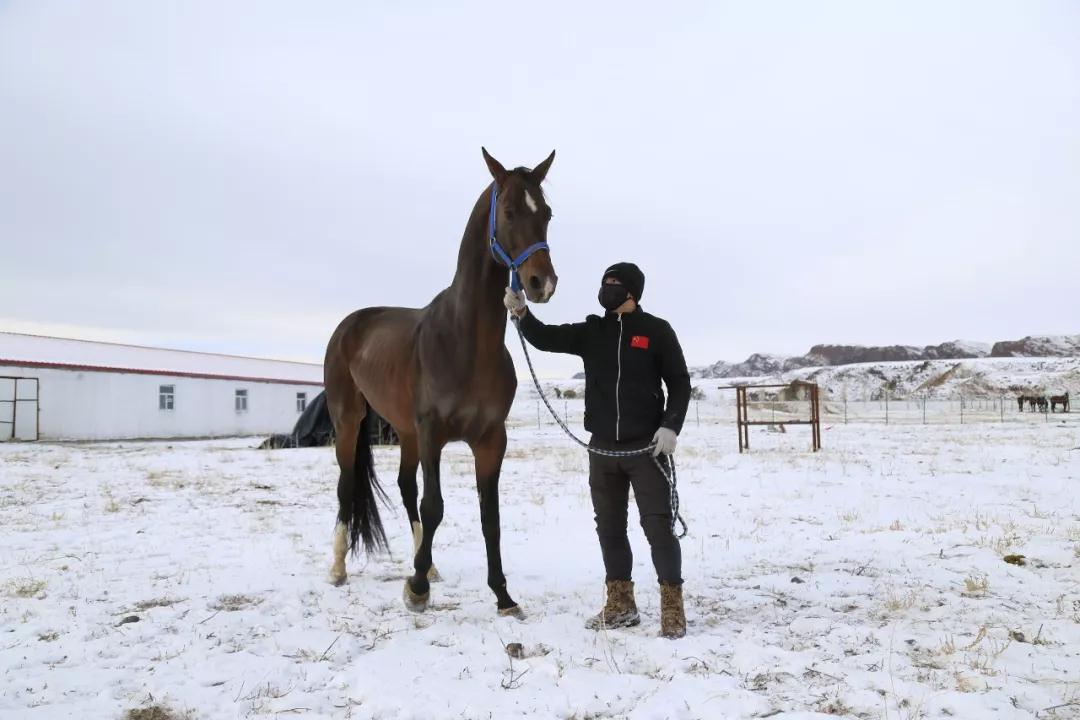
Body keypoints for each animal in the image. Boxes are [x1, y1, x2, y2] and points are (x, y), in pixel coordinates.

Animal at [319, 147, 557, 621]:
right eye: (509, 211)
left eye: (548, 214)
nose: (543, 283)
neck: (466, 343)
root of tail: (350, 324)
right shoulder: (432, 433)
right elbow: (435, 507)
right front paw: (415, 590)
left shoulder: (491, 440)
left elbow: (489, 517)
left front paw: (503, 596)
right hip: (349, 421)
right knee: (347, 484)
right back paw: (339, 569)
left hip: (405, 432)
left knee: (405, 487)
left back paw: (427, 565)